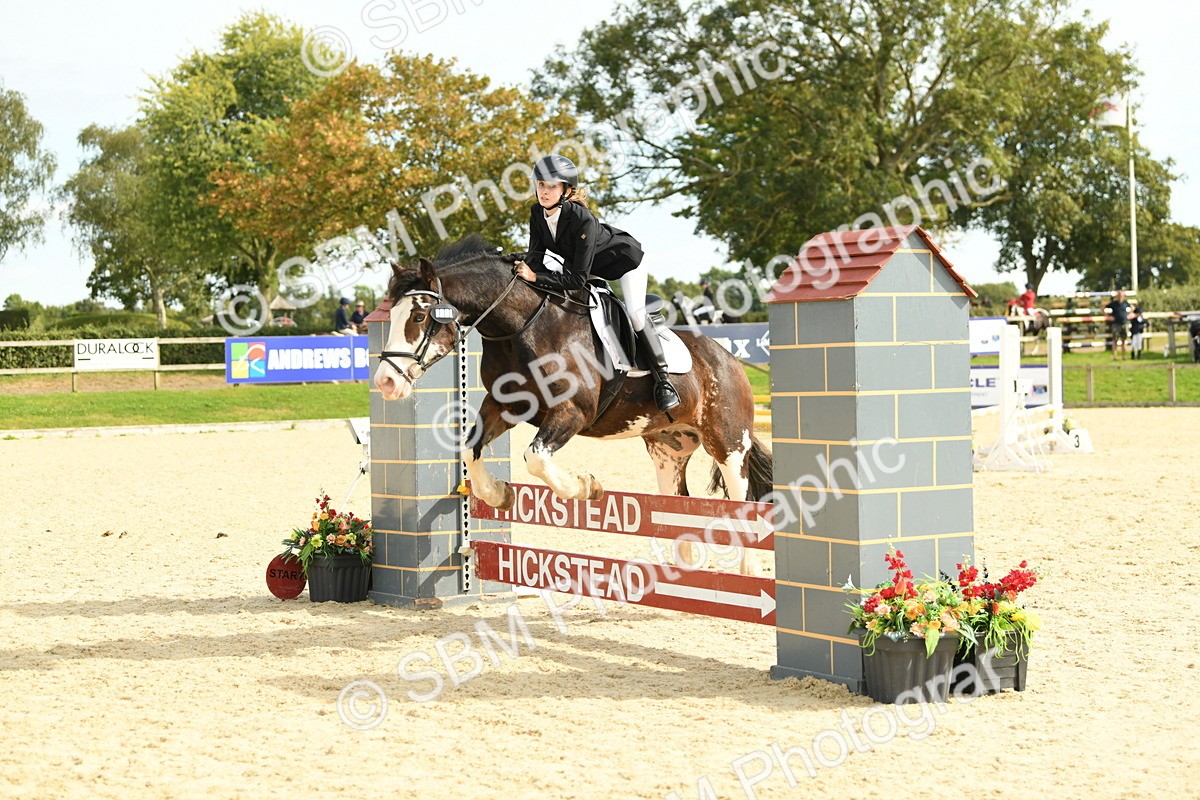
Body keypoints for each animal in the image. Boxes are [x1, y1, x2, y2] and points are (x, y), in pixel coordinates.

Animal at [372, 236, 773, 574]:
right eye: (390, 316)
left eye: (419, 316)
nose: (385, 382)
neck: (521, 328)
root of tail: (729, 358)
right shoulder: (504, 405)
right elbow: (472, 451)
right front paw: (500, 495)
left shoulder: (572, 412)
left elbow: (536, 458)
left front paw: (586, 487)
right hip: (668, 450)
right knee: (679, 505)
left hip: (728, 444)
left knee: (742, 502)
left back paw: (748, 574)